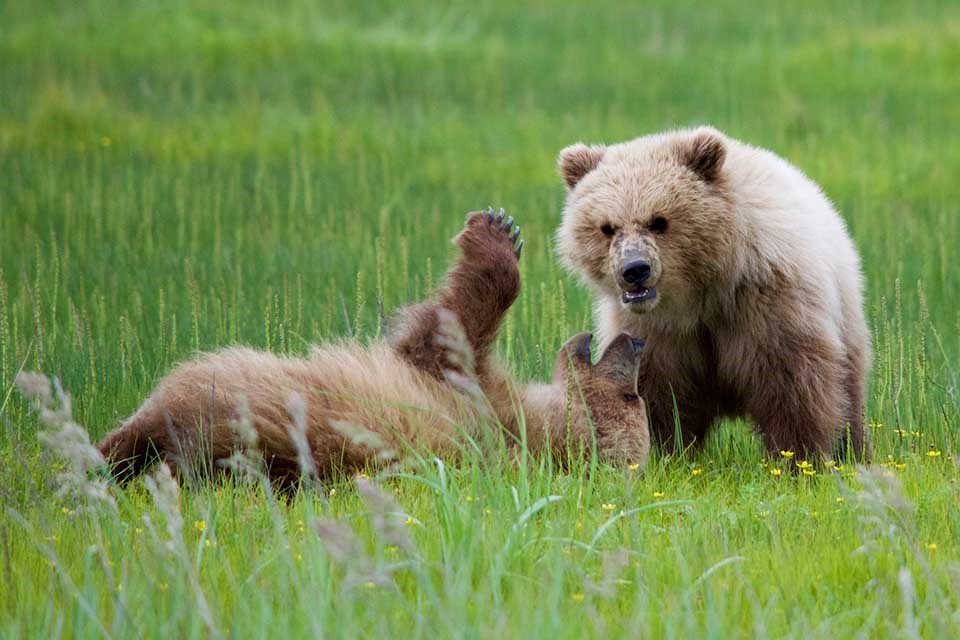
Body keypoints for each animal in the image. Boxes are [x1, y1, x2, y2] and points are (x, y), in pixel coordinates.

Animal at [97, 210, 648, 484]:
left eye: (632, 397)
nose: (635, 341)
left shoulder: (464, 397)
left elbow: (445, 331)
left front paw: (496, 235)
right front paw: (505, 230)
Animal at [556, 126, 872, 460]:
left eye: (658, 221)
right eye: (607, 227)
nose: (635, 269)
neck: (701, 292)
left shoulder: (767, 301)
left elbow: (792, 384)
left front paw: (797, 457)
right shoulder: (657, 330)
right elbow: (659, 391)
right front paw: (665, 453)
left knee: (848, 391)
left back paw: (853, 451)